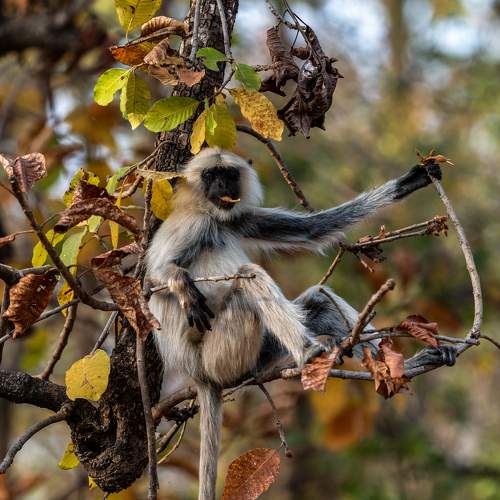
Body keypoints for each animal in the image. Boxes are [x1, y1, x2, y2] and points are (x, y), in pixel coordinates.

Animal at [145, 148, 455, 500]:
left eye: (229, 174)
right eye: (211, 176)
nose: (222, 185)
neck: (211, 215)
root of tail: (199, 374)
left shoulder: (239, 217)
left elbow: (313, 230)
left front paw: (411, 180)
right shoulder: (193, 224)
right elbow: (154, 276)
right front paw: (182, 286)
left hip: (256, 352)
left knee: (318, 298)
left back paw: (406, 363)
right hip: (220, 356)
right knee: (248, 276)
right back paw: (308, 350)